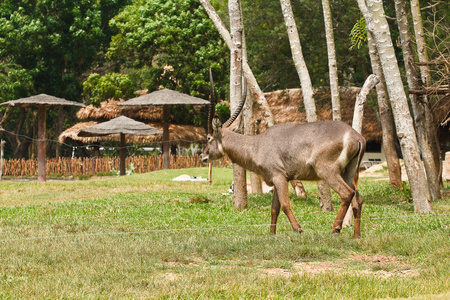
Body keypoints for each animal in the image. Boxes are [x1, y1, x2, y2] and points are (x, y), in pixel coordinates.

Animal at [202, 84, 368, 237]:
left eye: (208, 138)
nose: (203, 157)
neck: (257, 144)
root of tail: (357, 137)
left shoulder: (279, 177)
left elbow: (285, 205)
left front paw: (298, 229)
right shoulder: (277, 179)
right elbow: (274, 208)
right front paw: (272, 235)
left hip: (328, 172)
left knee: (346, 194)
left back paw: (336, 229)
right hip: (347, 173)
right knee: (357, 199)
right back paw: (356, 236)